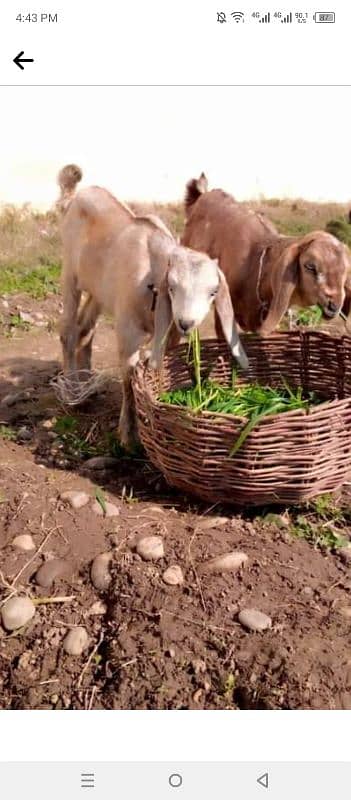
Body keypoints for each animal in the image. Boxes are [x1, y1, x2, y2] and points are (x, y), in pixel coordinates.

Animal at [57, 164, 248, 450]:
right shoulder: (127, 330)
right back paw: (72, 391)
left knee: (85, 329)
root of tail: (78, 195)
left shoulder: (168, 332)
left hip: (100, 290)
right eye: (173, 287)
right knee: (68, 331)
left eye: (213, 292)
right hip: (70, 272)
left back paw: (87, 384)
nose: (187, 323)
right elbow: (128, 378)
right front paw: (129, 436)